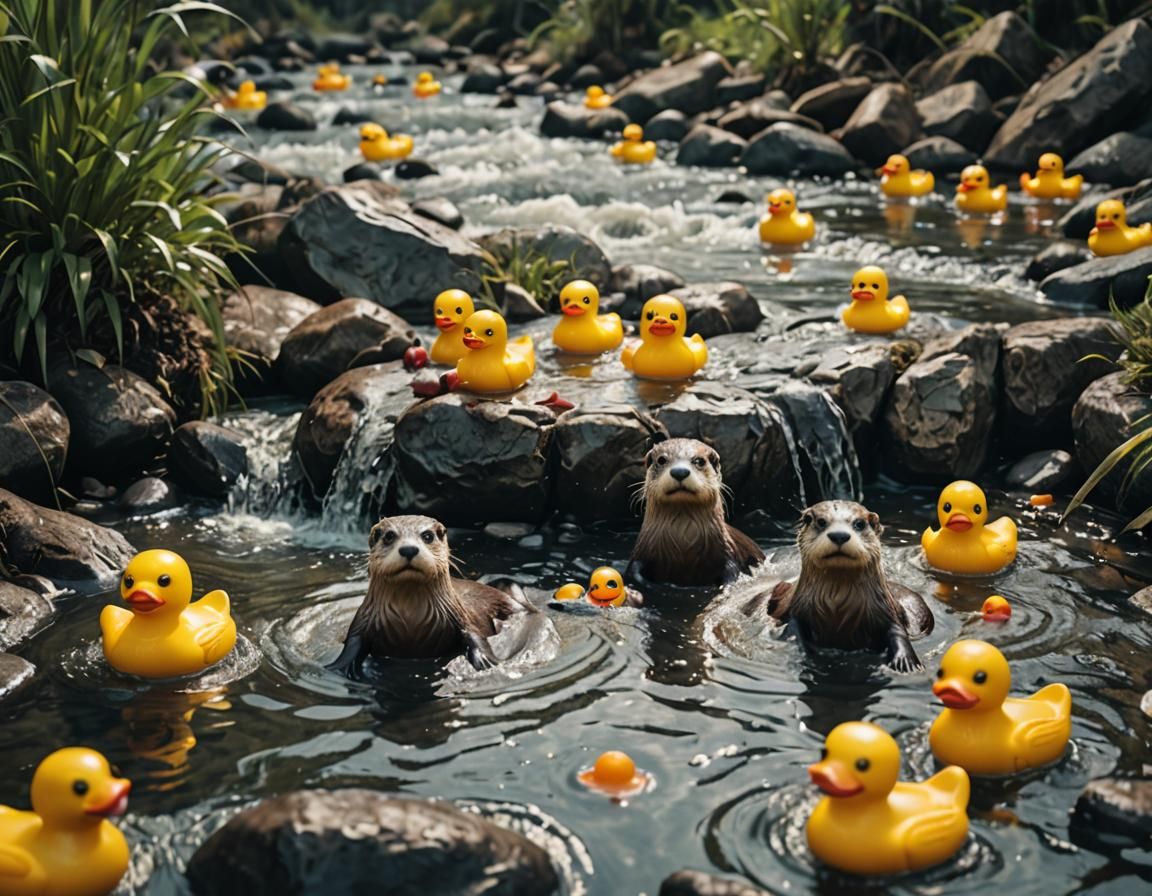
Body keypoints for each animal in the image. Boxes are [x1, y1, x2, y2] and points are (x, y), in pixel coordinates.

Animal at [327, 515, 533, 680]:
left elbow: (475, 635)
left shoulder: (460, 617)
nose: (409, 549)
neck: (411, 621)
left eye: (427, 536)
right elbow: (352, 645)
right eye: (389, 536)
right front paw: (338, 667)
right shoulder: (362, 621)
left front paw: (486, 661)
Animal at [627, 438, 765, 587]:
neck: (683, 540)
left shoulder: (729, 554)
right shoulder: (639, 556)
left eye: (699, 461)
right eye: (661, 460)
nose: (680, 472)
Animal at [744, 500, 934, 672]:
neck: (837, 609)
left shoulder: (887, 610)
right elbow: (792, 628)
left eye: (859, 523)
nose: (839, 535)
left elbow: (897, 631)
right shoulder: (795, 609)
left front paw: (907, 662)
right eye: (821, 521)